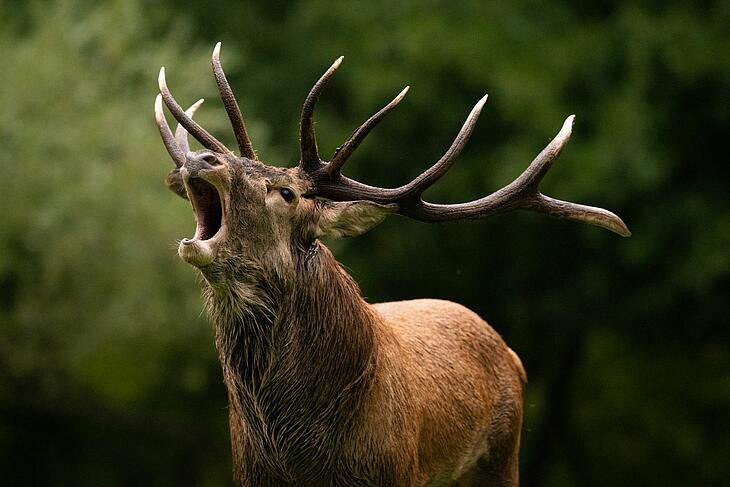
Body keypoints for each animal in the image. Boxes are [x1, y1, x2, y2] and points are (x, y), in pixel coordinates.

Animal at [154, 43, 630, 487]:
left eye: (286, 192)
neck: (299, 452)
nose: (201, 158)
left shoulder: (394, 470)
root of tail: (513, 356)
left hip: (501, 457)